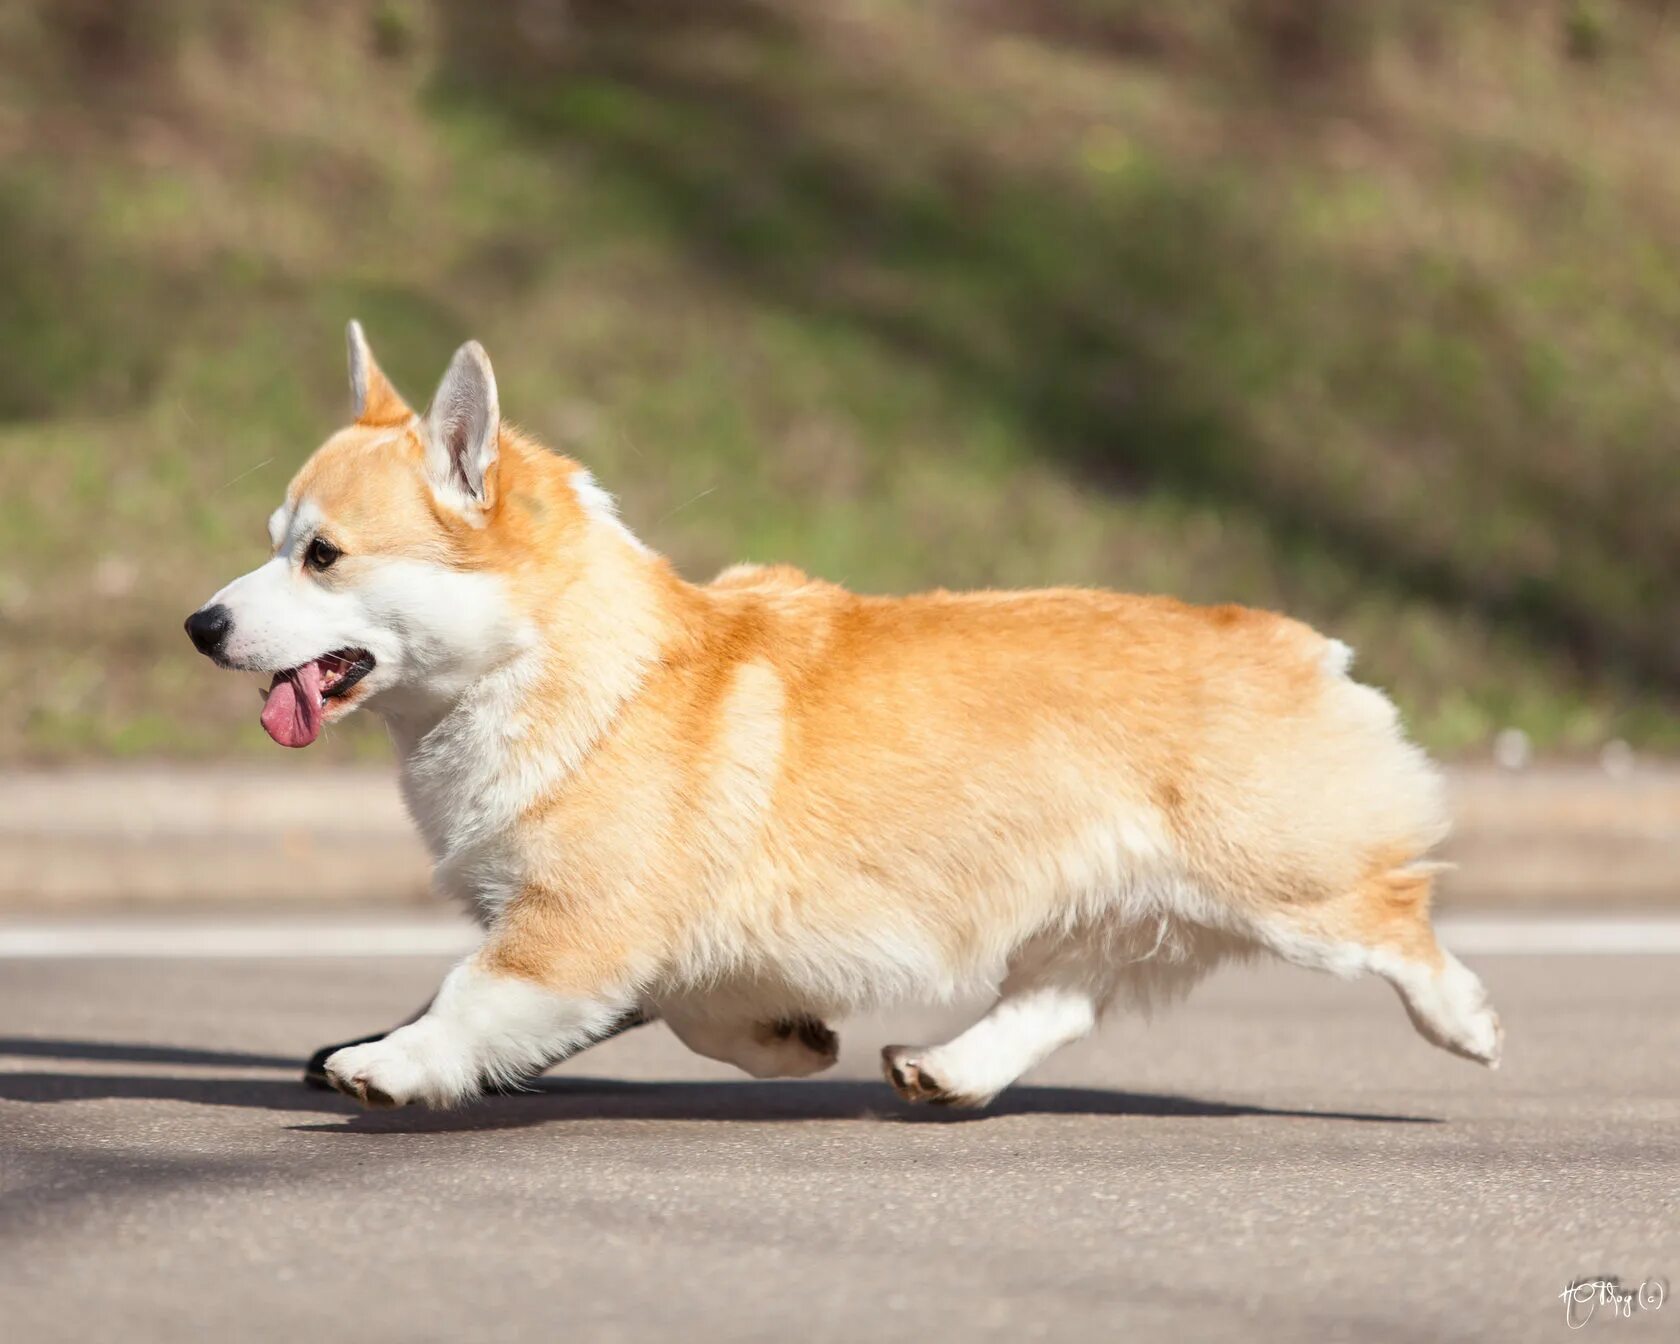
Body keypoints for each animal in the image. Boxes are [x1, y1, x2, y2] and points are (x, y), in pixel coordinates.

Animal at [187, 325, 1512, 1115]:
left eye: (321, 556)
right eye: (272, 542)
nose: (199, 625)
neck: (556, 664)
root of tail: (1298, 639)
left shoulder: (572, 929)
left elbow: (465, 1000)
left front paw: (385, 1066)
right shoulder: (648, 946)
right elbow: (697, 1013)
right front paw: (790, 1044)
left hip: (1286, 889)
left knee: (1397, 918)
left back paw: (1468, 1024)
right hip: (1112, 904)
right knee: (1066, 996)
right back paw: (946, 1069)